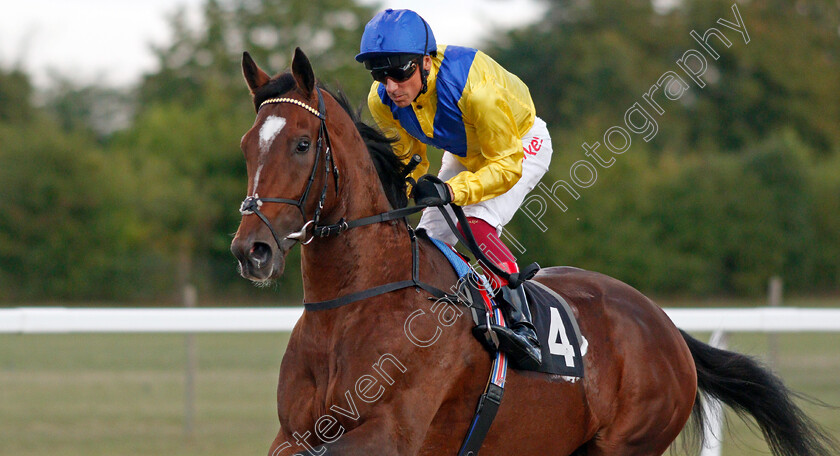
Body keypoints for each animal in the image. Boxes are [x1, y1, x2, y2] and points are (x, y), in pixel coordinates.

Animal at [228, 49, 832, 456]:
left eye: (302, 144)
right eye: (247, 145)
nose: (251, 250)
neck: (352, 307)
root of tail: (666, 327)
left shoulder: (388, 436)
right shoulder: (293, 434)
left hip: (623, 445)